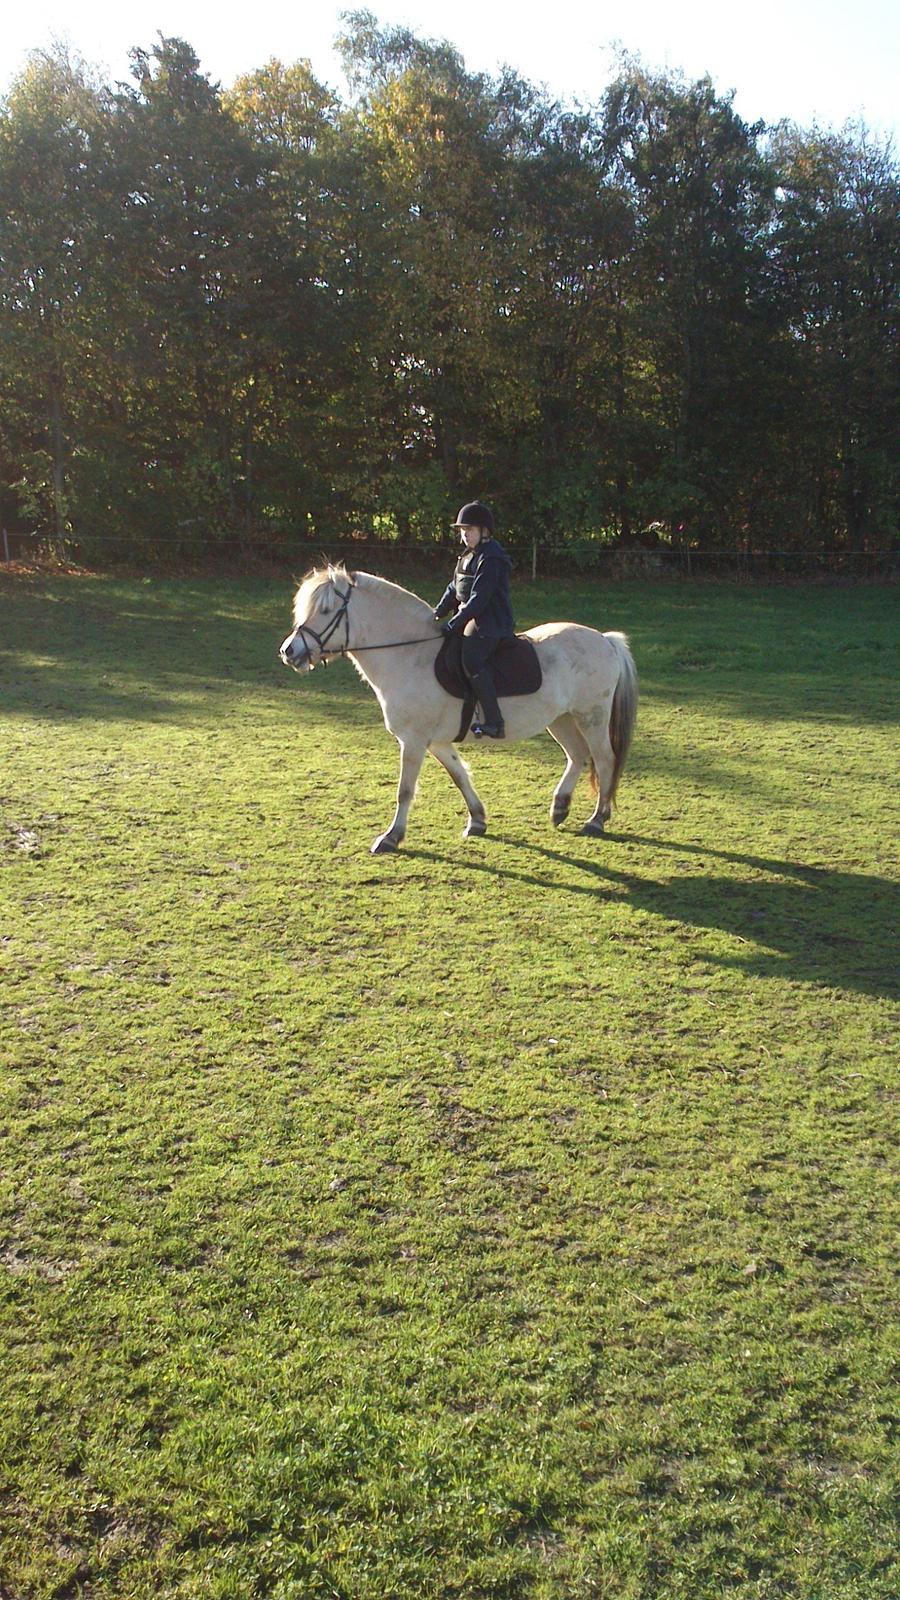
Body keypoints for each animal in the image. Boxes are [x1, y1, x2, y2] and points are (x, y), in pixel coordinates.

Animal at [277, 566, 634, 857]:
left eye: (326, 610)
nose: (289, 652)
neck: (411, 656)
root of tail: (605, 639)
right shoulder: (436, 742)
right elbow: (460, 776)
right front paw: (477, 820)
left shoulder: (413, 741)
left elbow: (405, 791)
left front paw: (391, 838)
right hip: (560, 719)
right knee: (577, 755)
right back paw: (560, 808)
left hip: (591, 716)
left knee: (604, 759)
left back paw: (597, 819)